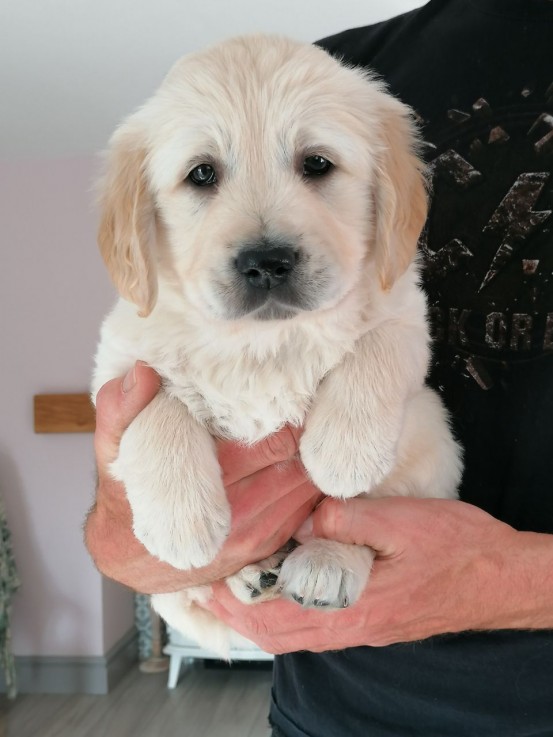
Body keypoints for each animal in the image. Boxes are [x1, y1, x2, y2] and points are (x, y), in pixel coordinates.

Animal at [91, 36, 462, 656]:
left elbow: (374, 349)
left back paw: (323, 563)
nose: (266, 262)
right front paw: (181, 520)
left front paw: (343, 452)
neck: (261, 340)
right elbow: (156, 404)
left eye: (316, 163)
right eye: (202, 174)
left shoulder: (406, 313)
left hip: (432, 441)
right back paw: (254, 573)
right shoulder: (117, 363)